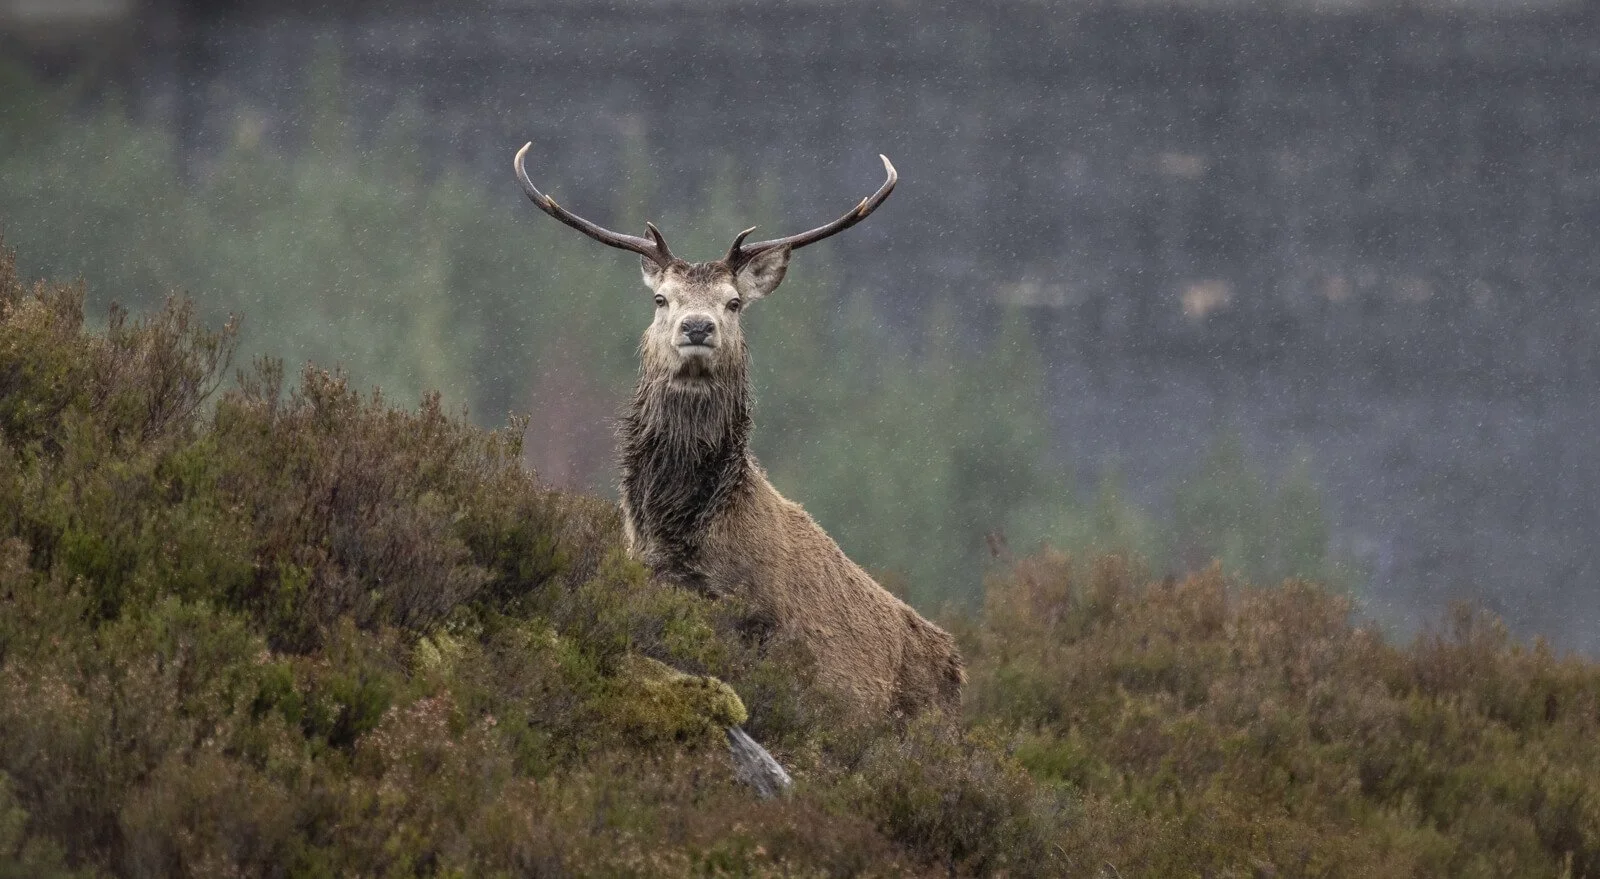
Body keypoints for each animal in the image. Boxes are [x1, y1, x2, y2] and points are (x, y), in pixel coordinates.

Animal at [513, 143, 964, 722]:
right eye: (661, 299)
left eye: (733, 302)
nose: (697, 326)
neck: (680, 529)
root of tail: (959, 669)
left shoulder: (755, 620)